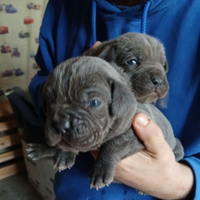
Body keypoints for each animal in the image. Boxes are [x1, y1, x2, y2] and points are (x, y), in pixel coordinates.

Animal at [27, 55, 184, 189]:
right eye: (49, 102)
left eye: (94, 102)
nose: (60, 125)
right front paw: (65, 153)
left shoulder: (137, 128)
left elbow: (114, 144)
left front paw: (101, 170)